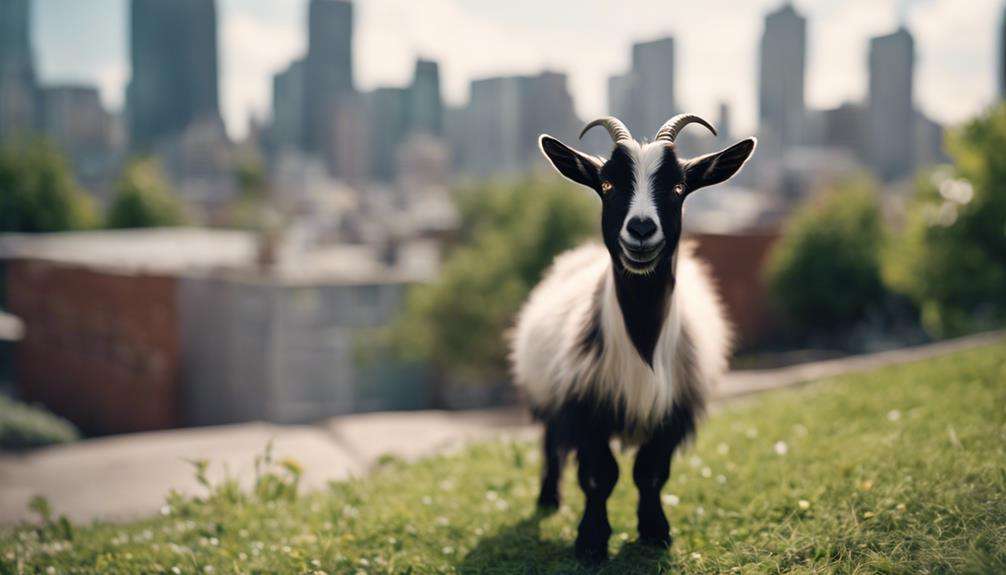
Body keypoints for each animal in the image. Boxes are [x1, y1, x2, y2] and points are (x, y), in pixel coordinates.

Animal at [511, 115, 756, 562]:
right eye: (607, 184)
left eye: (678, 187)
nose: (641, 227)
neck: (643, 339)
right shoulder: (585, 404)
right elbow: (599, 476)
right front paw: (591, 541)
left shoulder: (672, 412)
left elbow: (651, 473)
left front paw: (655, 531)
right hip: (546, 389)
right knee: (550, 442)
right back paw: (548, 499)